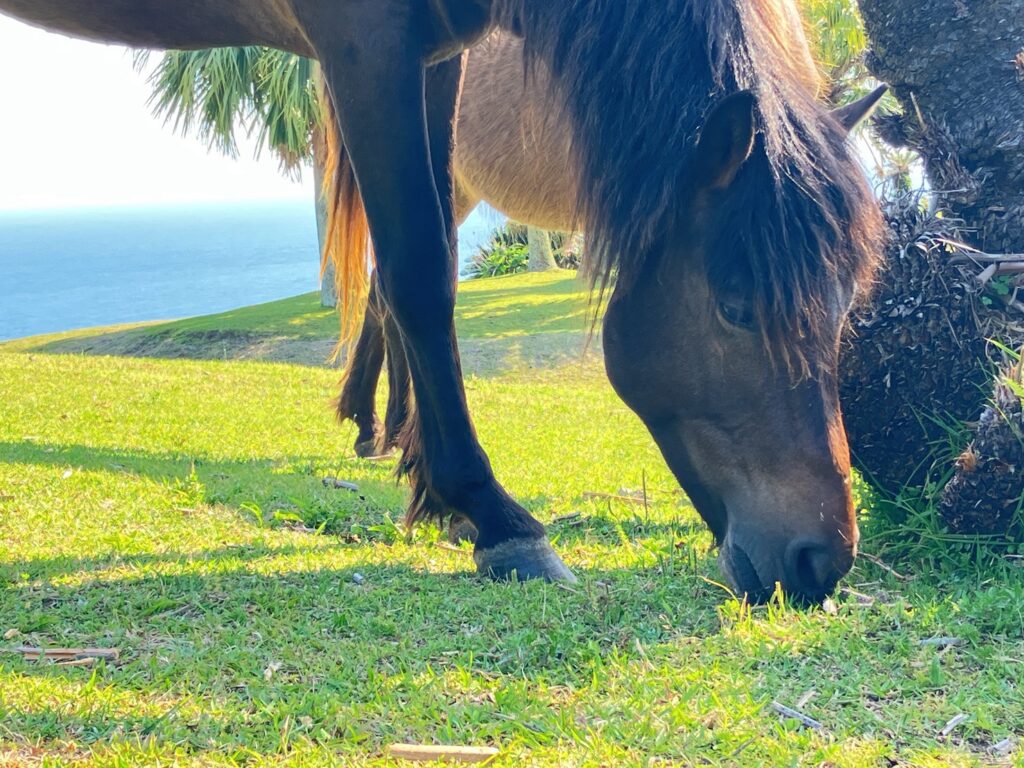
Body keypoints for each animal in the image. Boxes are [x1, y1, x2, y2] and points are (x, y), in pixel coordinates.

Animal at [0, 0, 885, 602]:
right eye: (735, 307)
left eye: (846, 303)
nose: (822, 560)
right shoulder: (367, 45)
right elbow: (420, 273)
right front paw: (494, 519)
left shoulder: (433, 58)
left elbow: (437, 272)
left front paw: (437, 489)